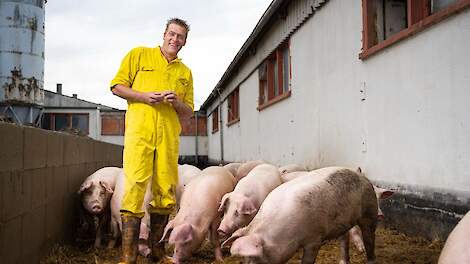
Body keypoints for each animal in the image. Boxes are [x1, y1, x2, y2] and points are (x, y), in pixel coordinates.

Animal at [223, 167, 378, 264]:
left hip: (370, 210)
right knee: (344, 240)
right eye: (244, 259)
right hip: (343, 223)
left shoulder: (314, 239)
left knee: (369, 238)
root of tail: (361, 176)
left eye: (254, 258)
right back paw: (342, 261)